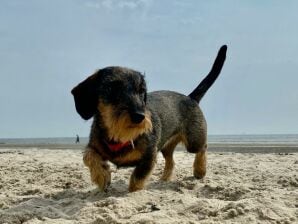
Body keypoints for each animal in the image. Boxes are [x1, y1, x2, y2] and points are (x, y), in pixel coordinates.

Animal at [71, 45, 226, 191]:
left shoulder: (149, 157)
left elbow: (137, 179)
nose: (139, 116)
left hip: (193, 141)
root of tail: (190, 98)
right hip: (166, 147)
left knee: (202, 148)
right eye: (113, 89)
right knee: (171, 161)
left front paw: (133, 190)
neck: (120, 136)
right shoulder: (93, 146)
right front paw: (102, 176)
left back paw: (200, 170)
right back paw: (164, 179)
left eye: (142, 91)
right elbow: (88, 156)